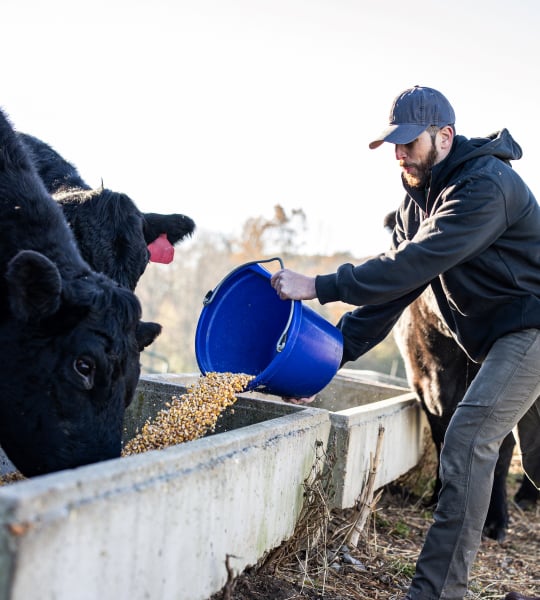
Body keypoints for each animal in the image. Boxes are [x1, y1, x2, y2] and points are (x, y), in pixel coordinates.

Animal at [386, 209, 536, 540]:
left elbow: (502, 450)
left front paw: (495, 520)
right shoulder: (423, 385)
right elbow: (443, 438)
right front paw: (437, 497)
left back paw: (527, 497)